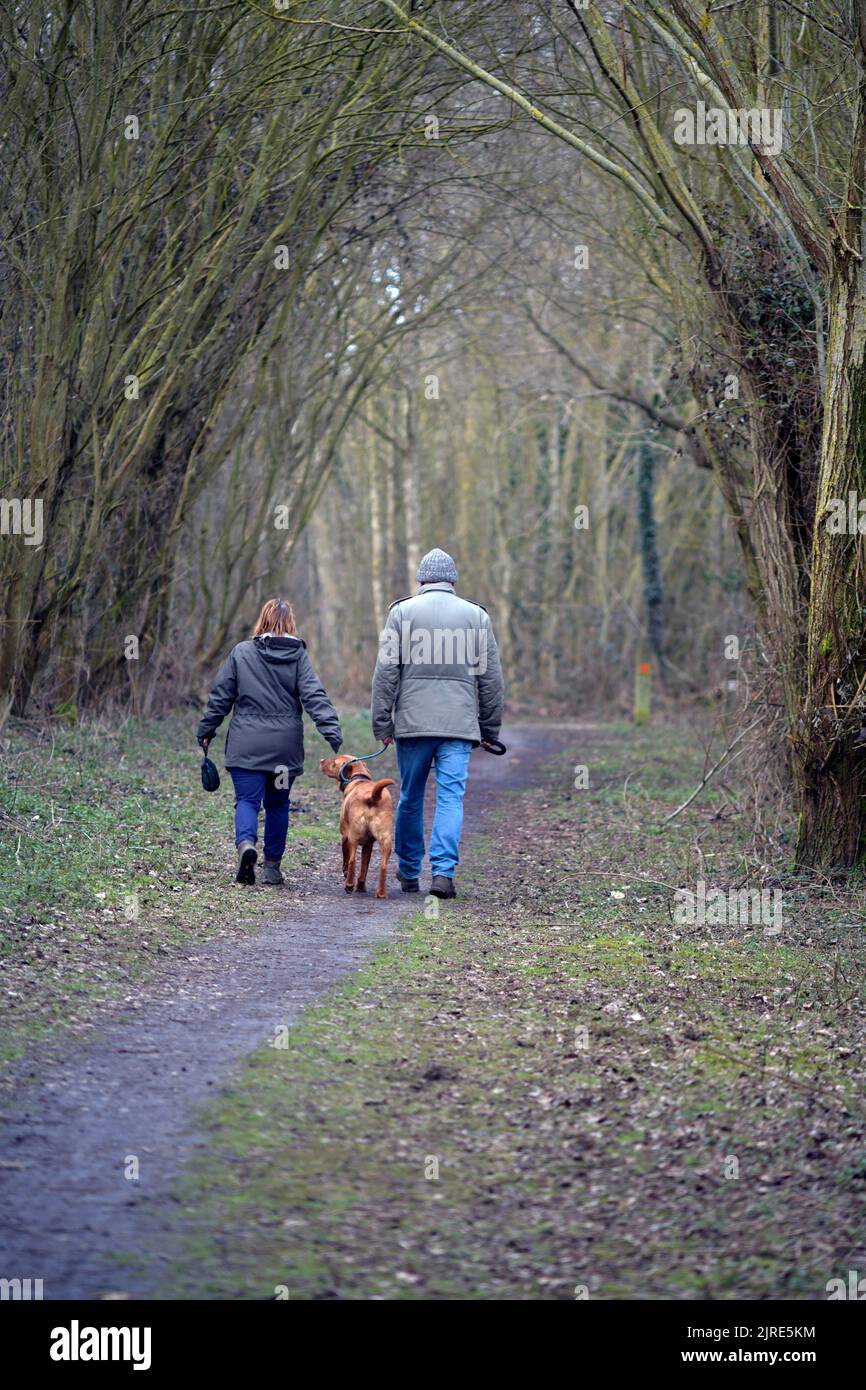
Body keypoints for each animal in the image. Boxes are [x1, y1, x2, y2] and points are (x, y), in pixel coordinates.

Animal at [319, 756, 397, 895]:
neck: (358, 779)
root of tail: (372, 796)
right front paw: (361, 886)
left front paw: (347, 876)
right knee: (382, 866)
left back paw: (349, 885)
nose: (321, 760)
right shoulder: (368, 845)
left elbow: (346, 860)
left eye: (334, 763)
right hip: (386, 840)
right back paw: (379, 893)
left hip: (353, 838)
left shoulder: (345, 837)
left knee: (352, 860)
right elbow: (364, 868)